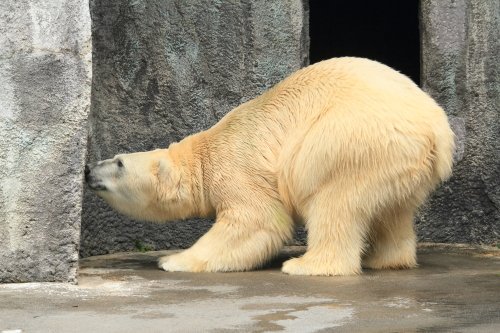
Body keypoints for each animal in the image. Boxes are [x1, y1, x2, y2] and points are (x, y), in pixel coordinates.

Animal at [87, 57, 458, 274]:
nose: (89, 169)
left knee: (334, 202)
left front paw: (173, 260)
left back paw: (306, 265)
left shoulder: (237, 169)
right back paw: (384, 259)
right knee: (392, 211)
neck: (204, 155)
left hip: (350, 140)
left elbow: (257, 221)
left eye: (119, 163)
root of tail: (437, 130)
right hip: (398, 162)